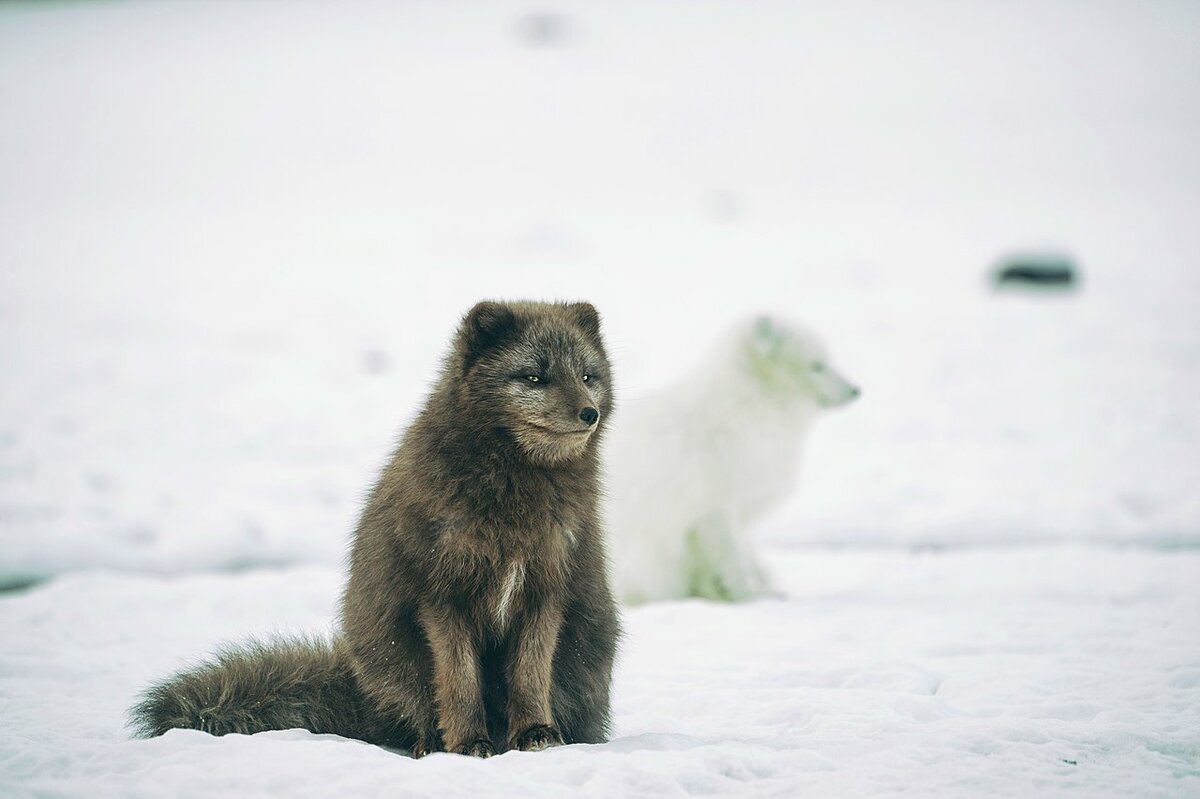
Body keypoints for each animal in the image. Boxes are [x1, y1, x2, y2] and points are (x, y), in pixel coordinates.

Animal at [130, 298, 619, 753]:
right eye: (534, 377)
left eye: (587, 376)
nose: (589, 413)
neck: (514, 500)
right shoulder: (441, 596)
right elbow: (458, 680)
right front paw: (466, 744)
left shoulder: (545, 590)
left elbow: (530, 674)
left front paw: (537, 733)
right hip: (389, 651)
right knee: (418, 709)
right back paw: (432, 744)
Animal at [604, 314, 859, 599]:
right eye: (817, 365)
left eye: (827, 360)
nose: (856, 390)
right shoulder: (713, 506)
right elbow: (732, 560)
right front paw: (749, 595)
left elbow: (740, 558)